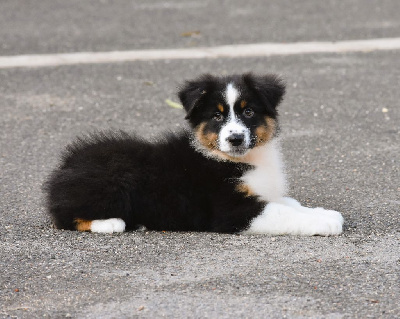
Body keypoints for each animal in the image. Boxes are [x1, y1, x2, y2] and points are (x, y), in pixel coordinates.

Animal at [43, 74, 344, 236]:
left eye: (248, 111)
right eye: (217, 116)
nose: (235, 138)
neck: (238, 160)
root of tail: (64, 166)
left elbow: (289, 203)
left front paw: (322, 212)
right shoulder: (232, 210)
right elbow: (282, 212)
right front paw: (324, 221)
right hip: (114, 176)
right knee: (64, 215)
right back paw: (112, 223)